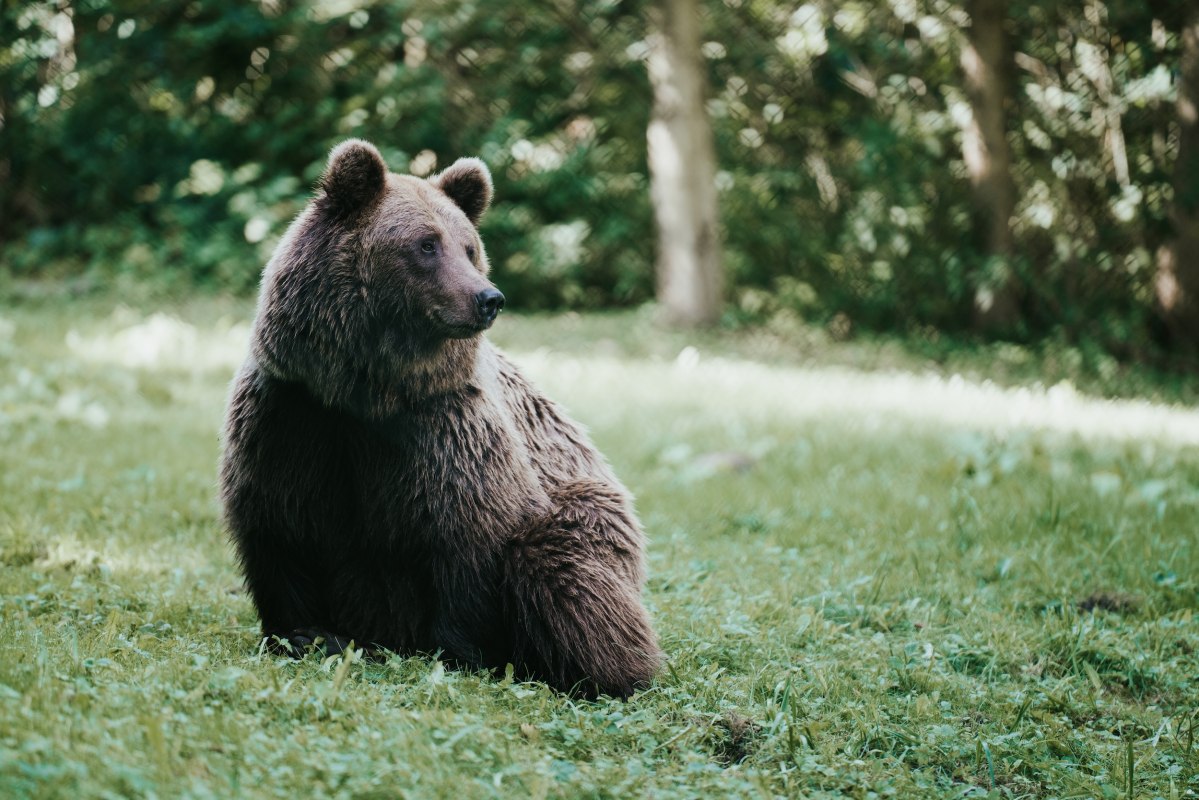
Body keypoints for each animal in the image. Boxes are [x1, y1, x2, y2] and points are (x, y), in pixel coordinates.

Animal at [218, 139, 661, 698]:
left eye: (468, 247)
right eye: (426, 245)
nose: (488, 298)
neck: (367, 392)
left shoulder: (445, 431)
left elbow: (466, 543)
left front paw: (460, 653)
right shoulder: (294, 417)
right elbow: (280, 527)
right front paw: (303, 634)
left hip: (592, 514)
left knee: (559, 568)